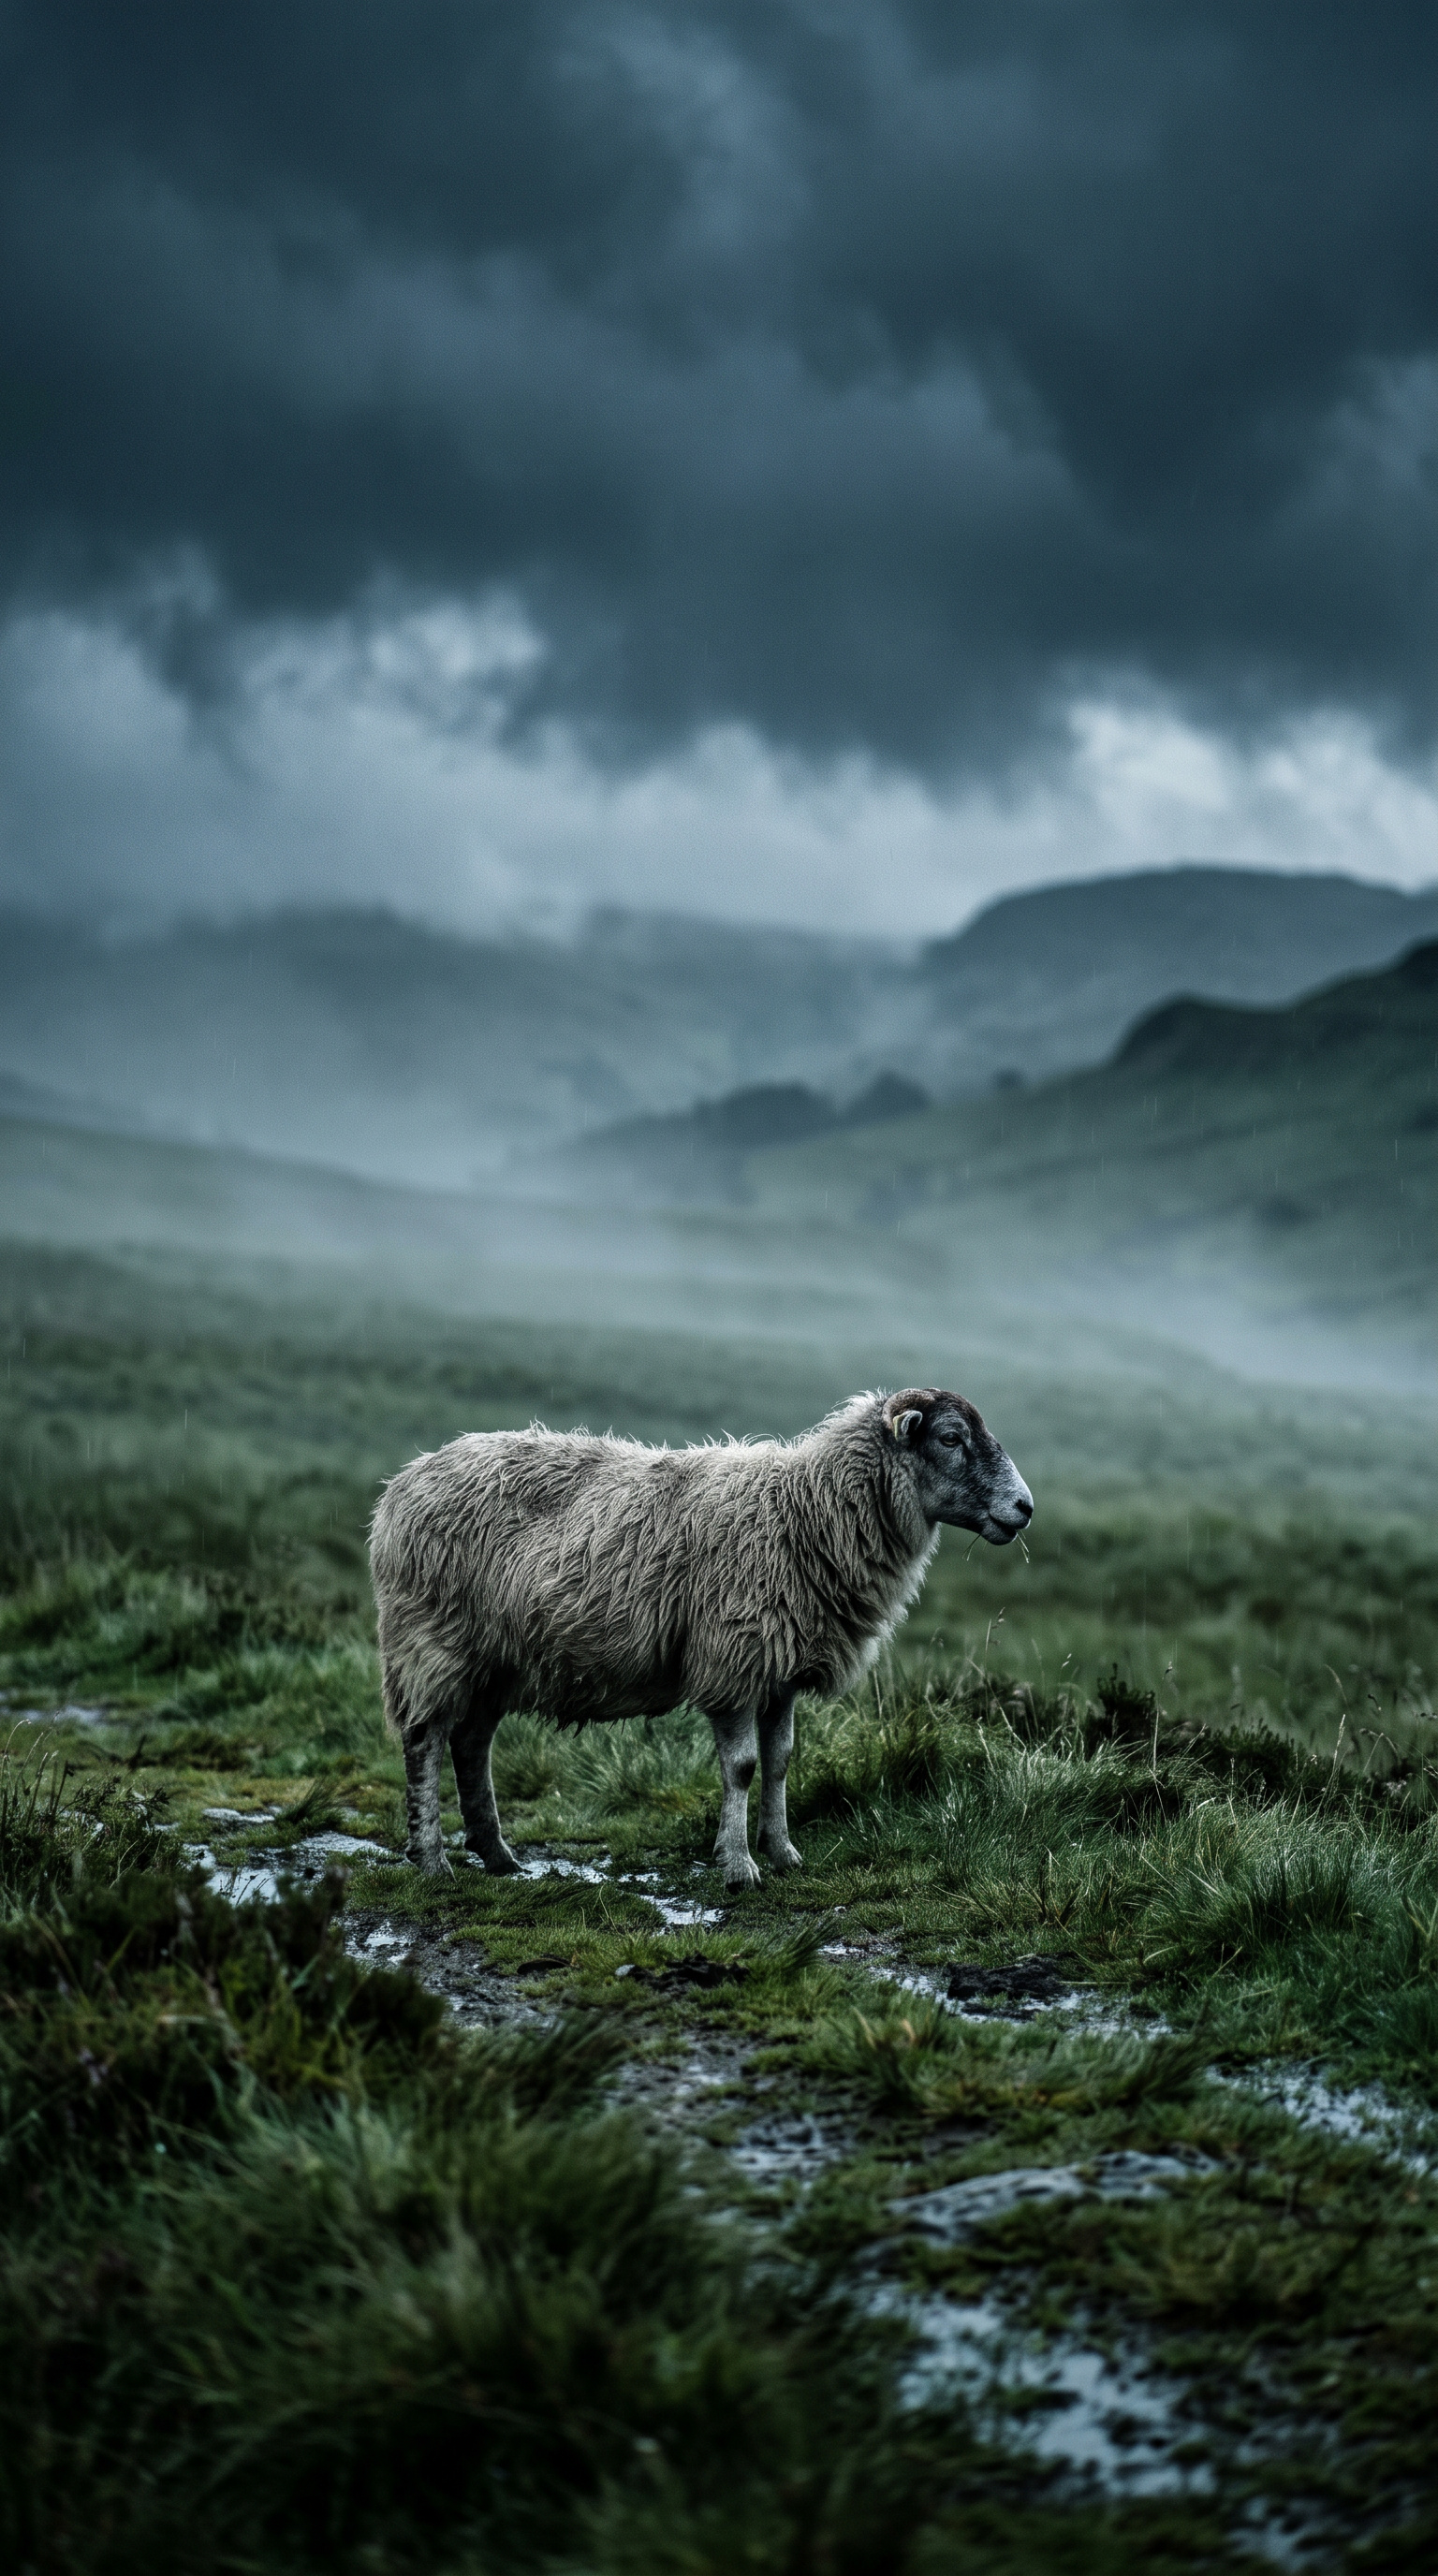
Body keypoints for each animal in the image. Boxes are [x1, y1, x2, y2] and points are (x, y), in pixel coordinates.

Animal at [370, 1386, 1033, 1888]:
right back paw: (431, 1861)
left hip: (495, 1659)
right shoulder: (733, 1660)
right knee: (425, 1740)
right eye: (950, 1438)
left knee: (470, 1744)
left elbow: (780, 1762)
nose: (1024, 1508)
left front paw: (782, 1852)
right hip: (432, 1642)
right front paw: (739, 1866)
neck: (805, 1514)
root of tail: (403, 1483)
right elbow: (740, 1767)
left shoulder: (779, 1671)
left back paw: (498, 1856)